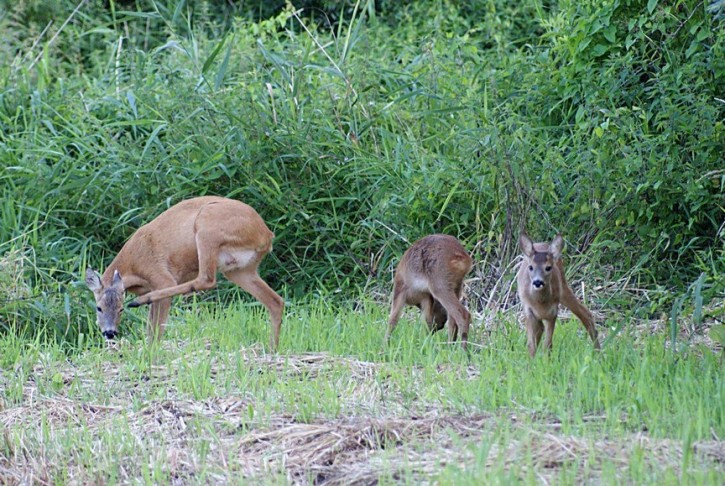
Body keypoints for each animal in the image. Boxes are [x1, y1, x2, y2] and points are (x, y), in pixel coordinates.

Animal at [86, 196, 284, 348]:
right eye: (99, 307)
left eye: (121, 309)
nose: (110, 332)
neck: (132, 266)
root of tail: (266, 235)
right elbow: (151, 326)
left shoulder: (160, 276)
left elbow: (157, 327)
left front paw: (151, 353)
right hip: (240, 269)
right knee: (275, 301)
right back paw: (272, 349)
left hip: (207, 227)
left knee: (206, 279)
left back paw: (140, 301)